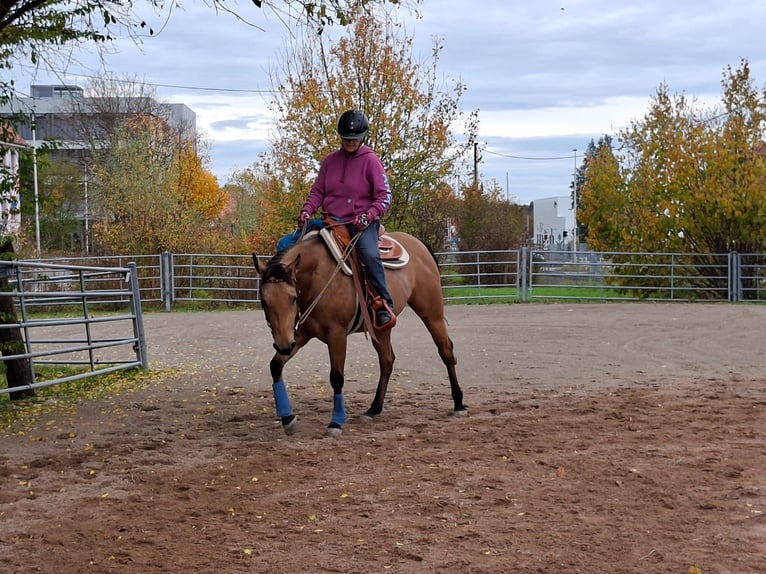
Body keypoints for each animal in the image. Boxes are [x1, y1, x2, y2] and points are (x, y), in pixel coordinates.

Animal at [253, 228, 467, 436]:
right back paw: (373, 409)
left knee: (445, 350)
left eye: (293, 298)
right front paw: (287, 419)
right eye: (264, 301)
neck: (318, 277)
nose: (283, 345)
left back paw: (458, 403)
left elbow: (337, 377)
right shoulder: (299, 335)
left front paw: (336, 422)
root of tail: (418, 244)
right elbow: (275, 366)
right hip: (381, 329)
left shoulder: (336, 334)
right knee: (387, 360)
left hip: (431, 312)